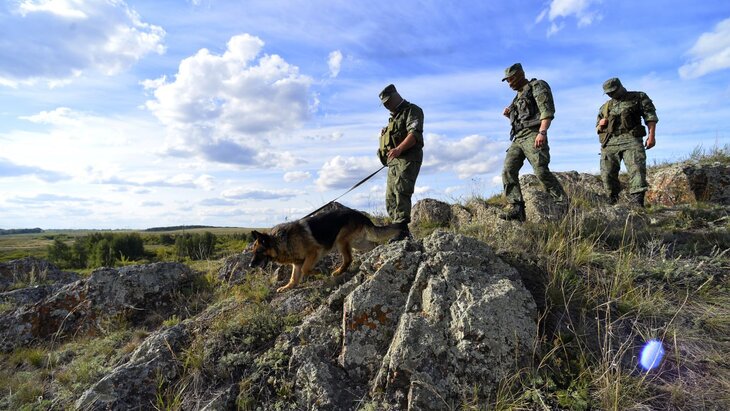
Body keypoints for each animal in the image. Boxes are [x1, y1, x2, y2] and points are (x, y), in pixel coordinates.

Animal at [249, 207, 402, 292]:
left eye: (259, 252)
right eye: (253, 252)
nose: (250, 265)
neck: (280, 241)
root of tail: (360, 215)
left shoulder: (313, 252)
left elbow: (306, 269)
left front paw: (320, 272)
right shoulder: (296, 263)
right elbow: (294, 277)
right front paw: (288, 287)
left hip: (341, 241)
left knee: (348, 259)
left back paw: (338, 271)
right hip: (357, 243)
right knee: (373, 245)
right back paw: (374, 254)